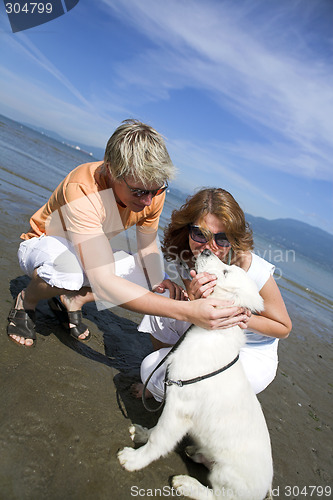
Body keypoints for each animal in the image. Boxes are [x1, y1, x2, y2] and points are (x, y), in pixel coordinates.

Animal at [116, 250, 272, 500]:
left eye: (225, 271)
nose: (207, 251)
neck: (211, 334)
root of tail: (265, 490)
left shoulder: (179, 408)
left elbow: (160, 439)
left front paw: (134, 459)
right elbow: (156, 430)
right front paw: (141, 432)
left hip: (226, 475)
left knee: (217, 496)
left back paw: (186, 483)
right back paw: (195, 451)